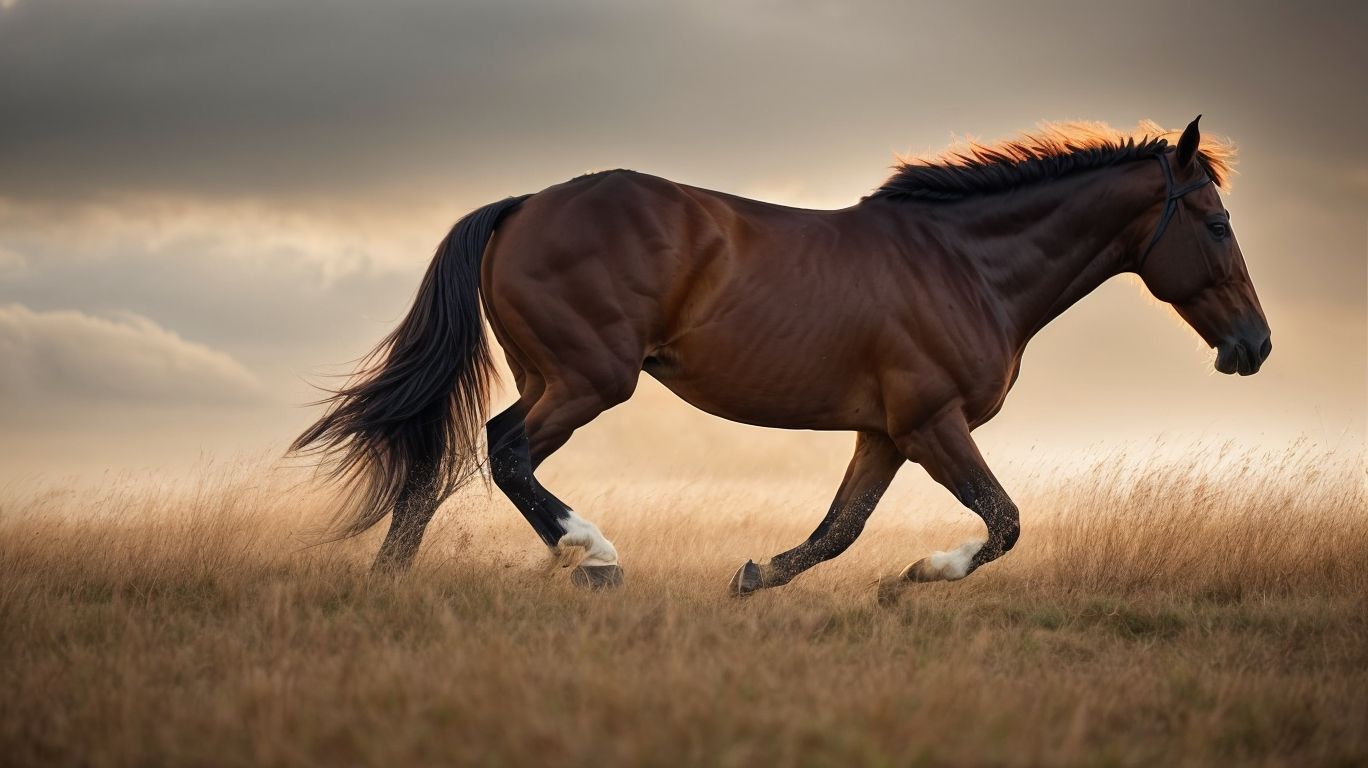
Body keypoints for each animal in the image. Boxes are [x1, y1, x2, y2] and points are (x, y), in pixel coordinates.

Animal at [290, 116, 1270, 598]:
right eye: (1219, 222)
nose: (1254, 347)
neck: (967, 266)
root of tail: (524, 204)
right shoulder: (933, 424)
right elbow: (1002, 522)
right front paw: (922, 574)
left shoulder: (886, 434)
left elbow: (840, 531)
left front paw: (756, 577)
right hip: (588, 379)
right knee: (505, 450)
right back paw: (593, 557)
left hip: (554, 376)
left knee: (446, 464)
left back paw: (392, 580)